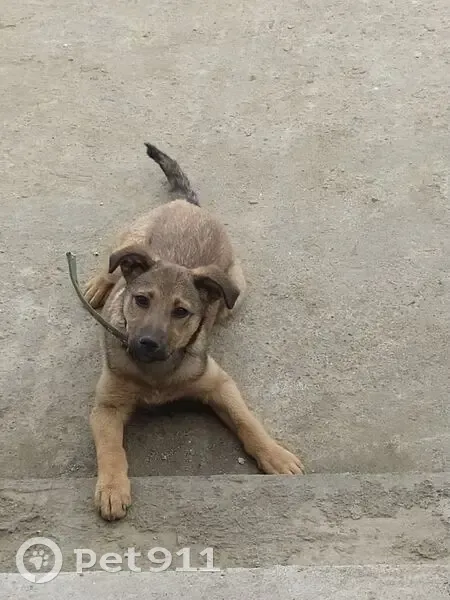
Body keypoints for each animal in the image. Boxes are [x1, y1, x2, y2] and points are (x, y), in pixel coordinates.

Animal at [84, 143, 304, 520]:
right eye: (141, 300)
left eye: (181, 312)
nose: (147, 343)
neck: (158, 373)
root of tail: (190, 205)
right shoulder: (107, 406)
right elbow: (112, 450)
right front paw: (112, 489)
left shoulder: (219, 384)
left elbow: (247, 421)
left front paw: (275, 454)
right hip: (134, 237)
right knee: (112, 265)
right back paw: (99, 284)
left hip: (236, 289)